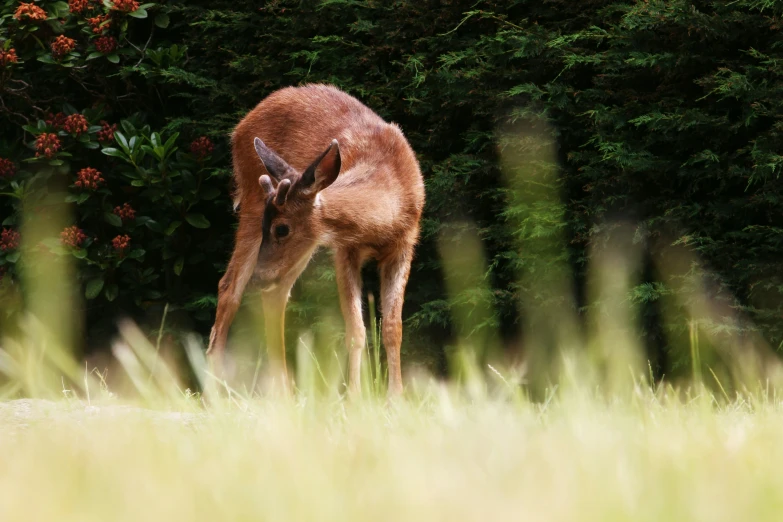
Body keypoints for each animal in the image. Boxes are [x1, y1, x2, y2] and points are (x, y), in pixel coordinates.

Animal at [207, 84, 428, 394]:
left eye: (282, 229)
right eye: (269, 227)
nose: (258, 276)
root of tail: (239, 128)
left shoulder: (404, 246)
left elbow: (393, 327)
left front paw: (396, 396)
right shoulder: (344, 250)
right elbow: (355, 329)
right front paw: (354, 395)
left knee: (274, 294)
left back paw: (284, 391)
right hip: (252, 201)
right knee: (229, 287)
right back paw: (214, 387)